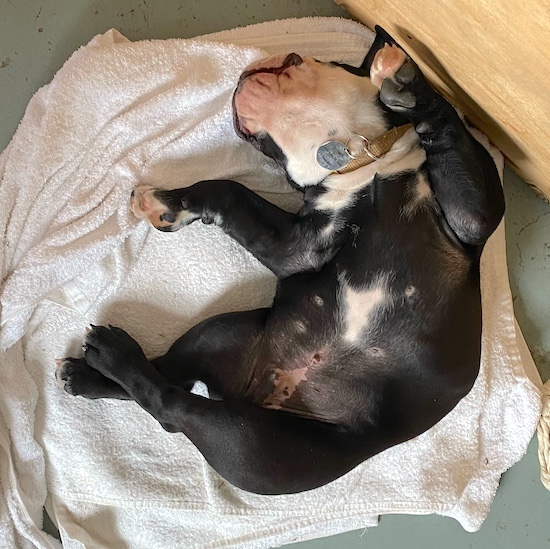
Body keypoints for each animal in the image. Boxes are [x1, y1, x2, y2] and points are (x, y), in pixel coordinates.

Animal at [56, 27, 504, 494]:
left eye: (297, 60)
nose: (243, 77)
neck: (360, 157)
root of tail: (255, 393)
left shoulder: (470, 215)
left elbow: (445, 132)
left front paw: (405, 84)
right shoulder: (298, 244)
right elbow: (228, 190)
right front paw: (167, 202)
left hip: (250, 428)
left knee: (170, 394)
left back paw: (98, 364)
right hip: (230, 377)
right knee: (170, 394)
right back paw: (100, 364)